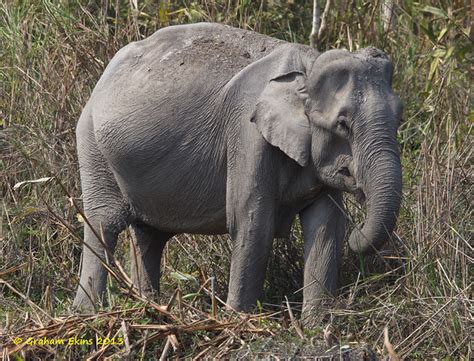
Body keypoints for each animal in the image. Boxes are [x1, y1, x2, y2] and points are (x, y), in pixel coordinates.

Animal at [72, 22, 402, 316]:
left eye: (400, 118)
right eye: (343, 124)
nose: (360, 232)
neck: (307, 66)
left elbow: (326, 228)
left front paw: (316, 327)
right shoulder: (246, 132)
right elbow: (251, 221)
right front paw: (238, 319)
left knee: (149, 235)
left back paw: (149, 309)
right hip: (92, 145)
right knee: (104, 223)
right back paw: (89, 313)